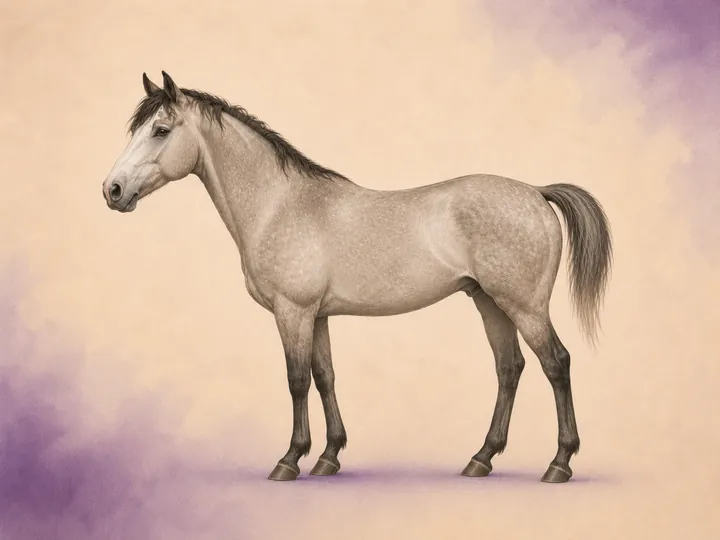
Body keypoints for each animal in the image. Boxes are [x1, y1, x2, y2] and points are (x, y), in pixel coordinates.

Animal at [102, 71, 612, 483]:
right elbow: (326, 376)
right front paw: (329, 457)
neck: (280, 204)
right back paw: (481, 459)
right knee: (510, 368)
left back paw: (559, 464)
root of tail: (536, 193)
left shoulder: (293, 312)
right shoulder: (318, 315)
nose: (113, 190)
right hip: (489, 301)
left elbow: (297, 380)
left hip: (524, 305)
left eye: (161, 130)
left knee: (556, 363)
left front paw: (290, 460)